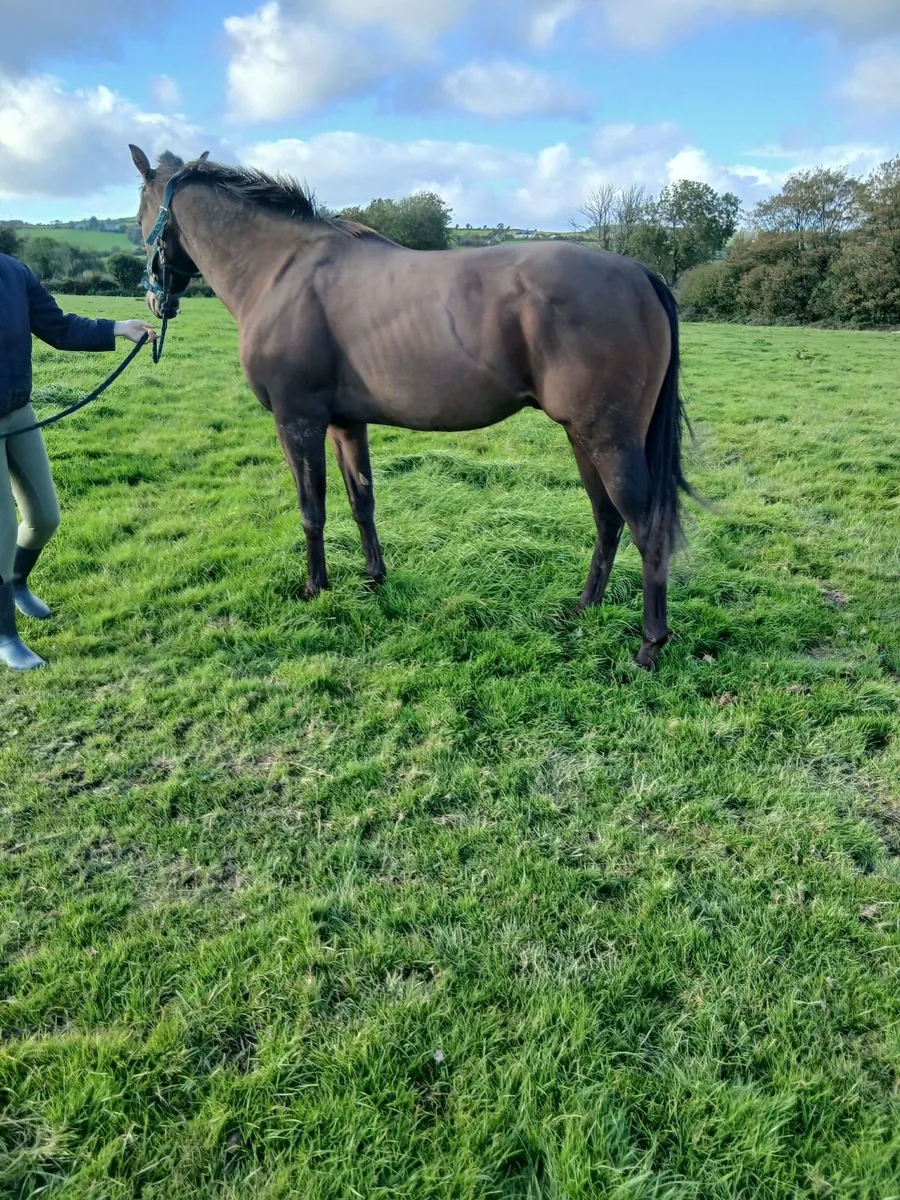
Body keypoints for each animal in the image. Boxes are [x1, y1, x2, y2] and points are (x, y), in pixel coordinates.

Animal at [129, 145, 692, 668]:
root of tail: (641, 274)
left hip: (609, 439)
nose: (157, 301)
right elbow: (361, 499)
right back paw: (585, 607)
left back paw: (649, 645)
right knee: (607, 518)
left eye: (139, 217)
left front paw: (315, 588)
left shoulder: (297, 420)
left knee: (646, 527)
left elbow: (313, 509)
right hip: (582, 436)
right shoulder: (345, 424)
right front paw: (373, 577)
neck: (280, 270)